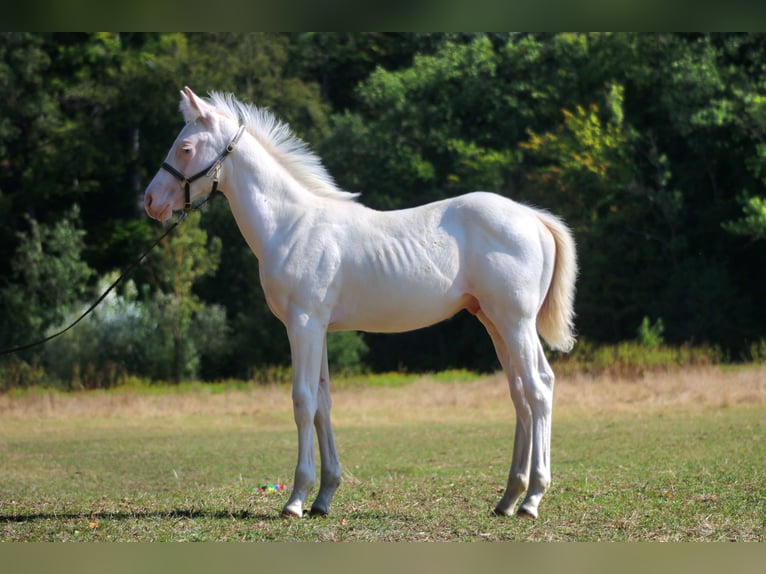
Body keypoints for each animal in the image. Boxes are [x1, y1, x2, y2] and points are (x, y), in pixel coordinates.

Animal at [144, 86, 580, 520]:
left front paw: (296, 499)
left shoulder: (303, 324)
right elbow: (323, 403)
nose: (150, 201)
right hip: (493, 322)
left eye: (185, 147)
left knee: (539, 388)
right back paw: (508, 498)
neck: (292, 225)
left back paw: (532, 498)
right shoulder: (318, 328)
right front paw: (323, 496)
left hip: (515, 322)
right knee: (520, 393)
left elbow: (302, 401)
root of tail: (532, 218)